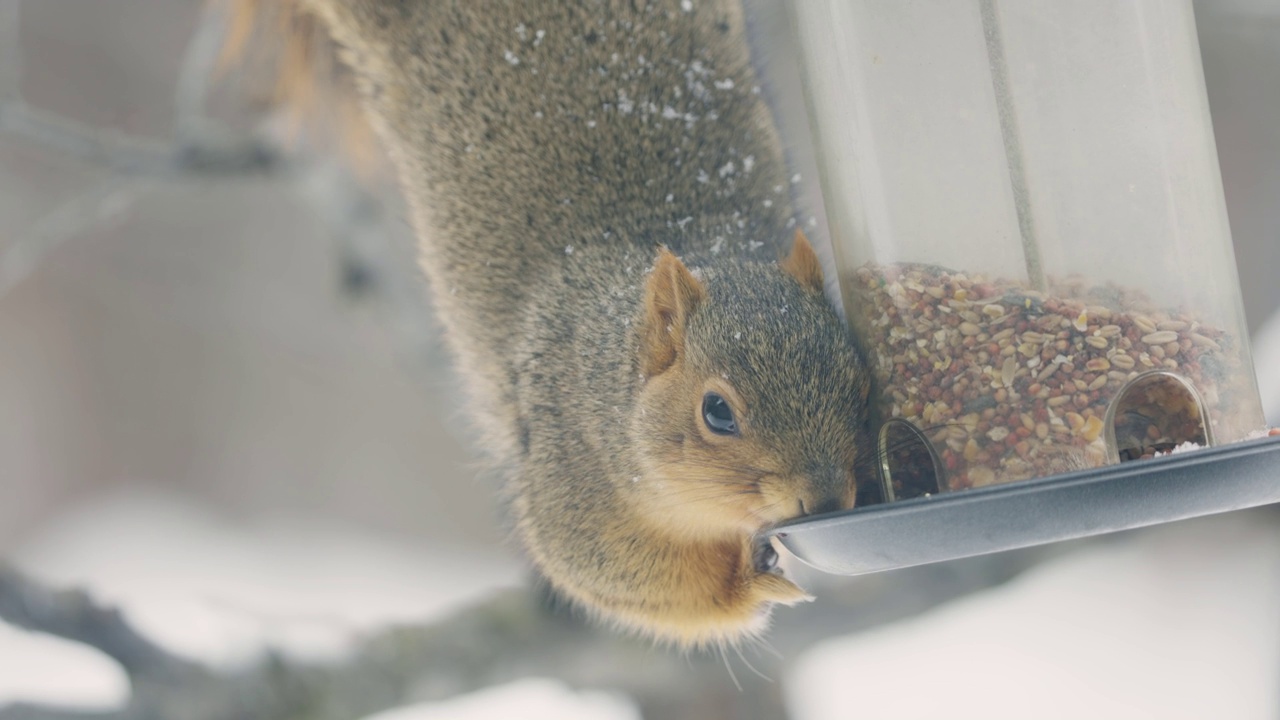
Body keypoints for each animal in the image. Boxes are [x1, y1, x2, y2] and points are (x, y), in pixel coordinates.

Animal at [225, 0, 875, 645]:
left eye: (862, 384)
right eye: (717, 412)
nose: (823, 499)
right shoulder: (569, 478)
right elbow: (617, 574)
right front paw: (746, 582)